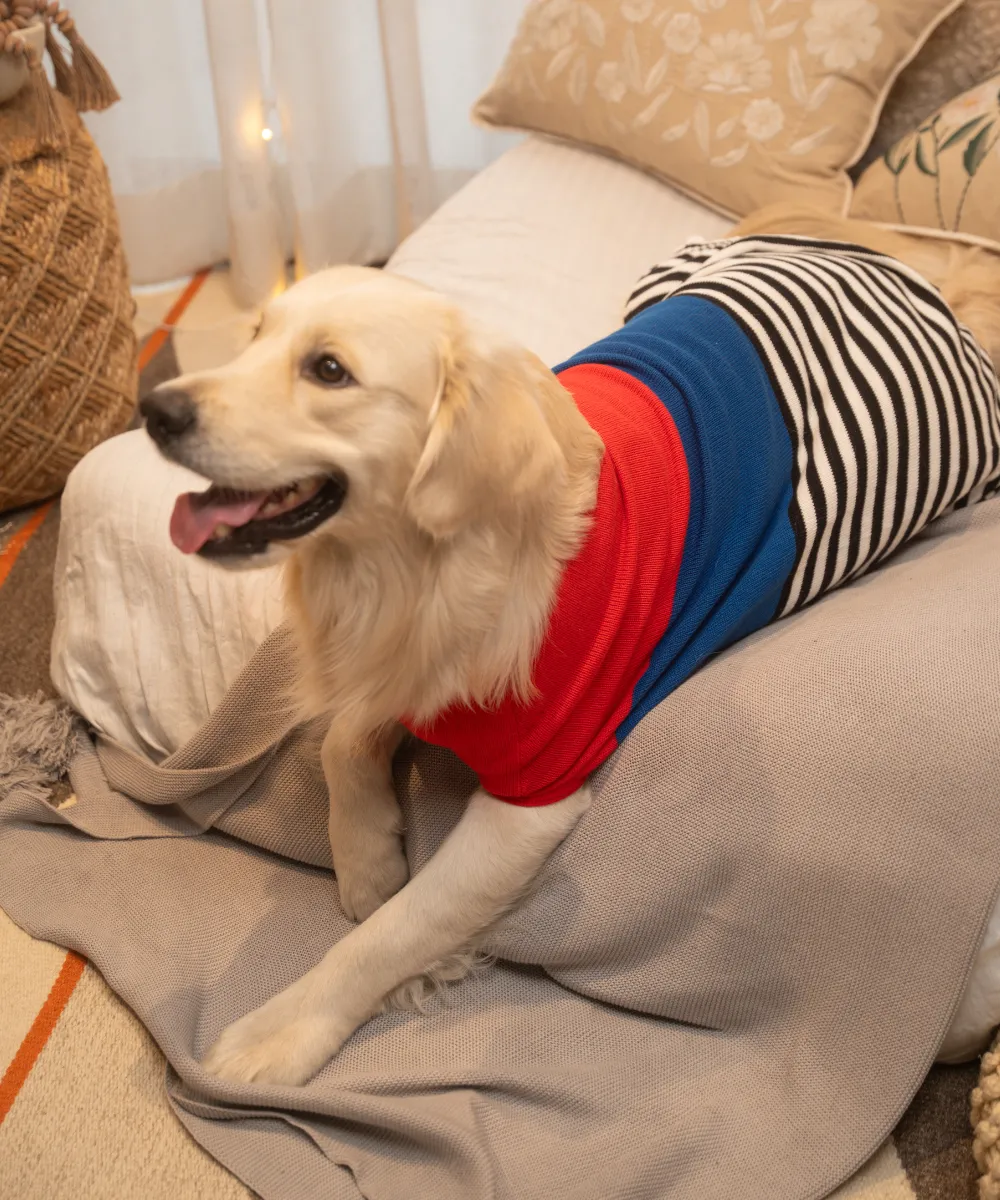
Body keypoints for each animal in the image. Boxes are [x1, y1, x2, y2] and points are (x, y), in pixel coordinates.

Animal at [138, 201, 998, 1084]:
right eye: (252, 337)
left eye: (329, 371)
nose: (156, 409)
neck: (423, 572)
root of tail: (907, 268)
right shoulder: (399, 666)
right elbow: (342, 743)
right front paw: (369, 861)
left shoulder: (530, 800)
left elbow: (391, 935)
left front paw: (281, 1030)